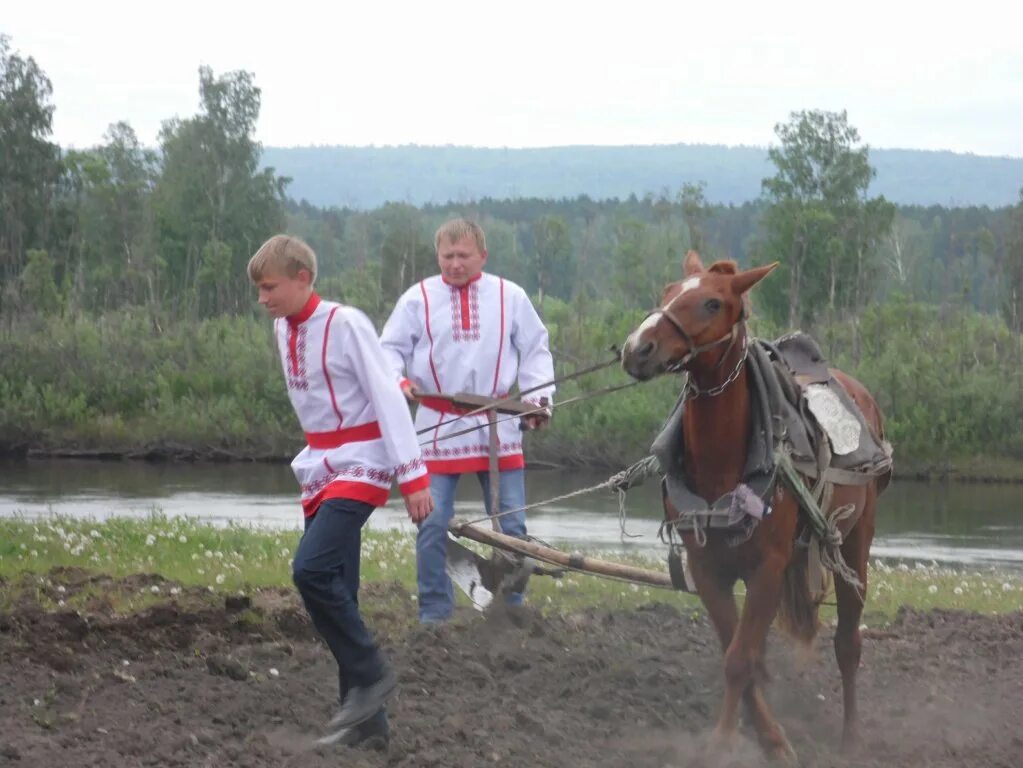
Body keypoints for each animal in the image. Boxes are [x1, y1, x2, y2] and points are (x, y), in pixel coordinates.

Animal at [617, 252, 892, 764]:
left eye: (712, 302)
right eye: (668, 292)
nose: (637, 348)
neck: (723, 461)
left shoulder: (768, 566)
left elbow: (739, 659)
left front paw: (732, 742)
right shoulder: (707, 567)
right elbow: (737, 651)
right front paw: (761, 736)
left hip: (855, 544)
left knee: (848, 643)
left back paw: (851, 738)